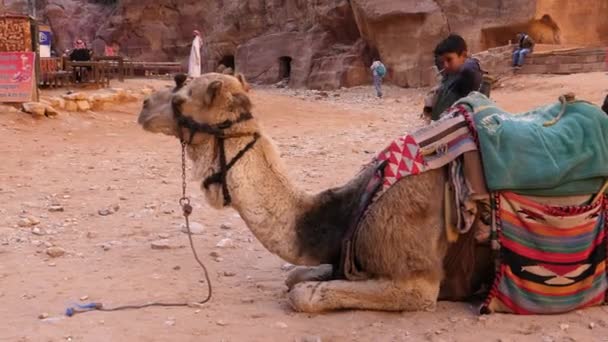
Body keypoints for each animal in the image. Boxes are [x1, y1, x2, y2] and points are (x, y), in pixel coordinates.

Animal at [138, 72, 490, 312]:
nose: (144, 106)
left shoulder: (419, 282)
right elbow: (295, 275)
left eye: (181, 99)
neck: (353, 208)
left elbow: (303, 293)